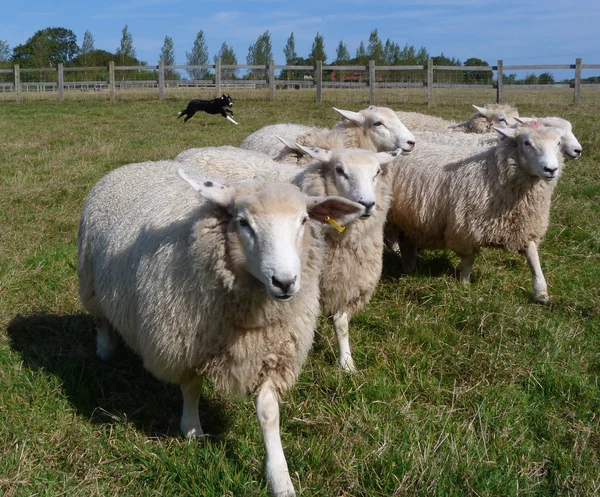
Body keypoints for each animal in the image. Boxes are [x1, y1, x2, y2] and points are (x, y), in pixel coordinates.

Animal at [77, 160, 364, 496]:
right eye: (243, 222)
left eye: (304, 220)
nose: (284, 282)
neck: (251, 315)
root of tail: (135, 164)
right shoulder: (185, 342)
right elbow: (191, 388)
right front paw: (192, 430)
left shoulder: (272, 353)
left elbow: (268, 414)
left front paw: (280, 478)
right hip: (90, 278)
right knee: (101, 318)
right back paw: (105, 348)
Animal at [178, 141, 400, 370]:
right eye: (339, 170)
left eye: (377, 172)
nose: (367, 204)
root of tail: (198, 149)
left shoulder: (343, 282)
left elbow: (341, 324)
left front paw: (347, 362)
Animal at [386, 124, 564, 302]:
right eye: (527, 143)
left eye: (558, 143)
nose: (551, 169)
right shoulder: (465, 229)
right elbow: (468, 260)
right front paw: (464, 286)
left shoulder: (525, 226)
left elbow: (533, 257)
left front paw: (541, 293)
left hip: (406, 218)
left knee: (406, 241)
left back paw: (409, 268)